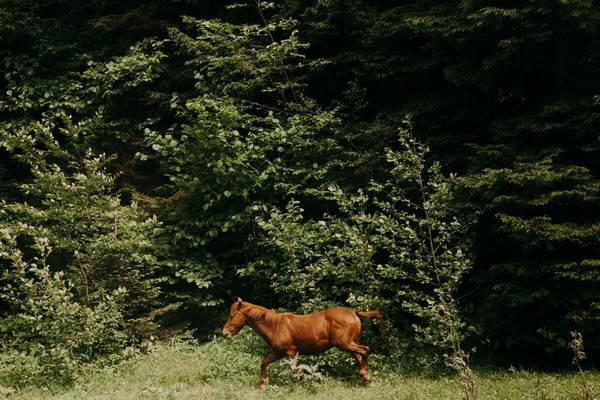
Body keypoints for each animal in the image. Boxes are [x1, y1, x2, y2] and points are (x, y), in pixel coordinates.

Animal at [221, 298, 384, 390]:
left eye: (232, 315)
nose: (224, 333)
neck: (275, 326)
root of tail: (354, 312)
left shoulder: (291, 352)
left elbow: (296, 371)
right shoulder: (278, 353)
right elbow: (264, 362)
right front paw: (261, 385)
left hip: (345, 344)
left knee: (365, 350)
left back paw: (365, 375)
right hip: (349, 344)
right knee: (360, 356)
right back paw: (365, 378)